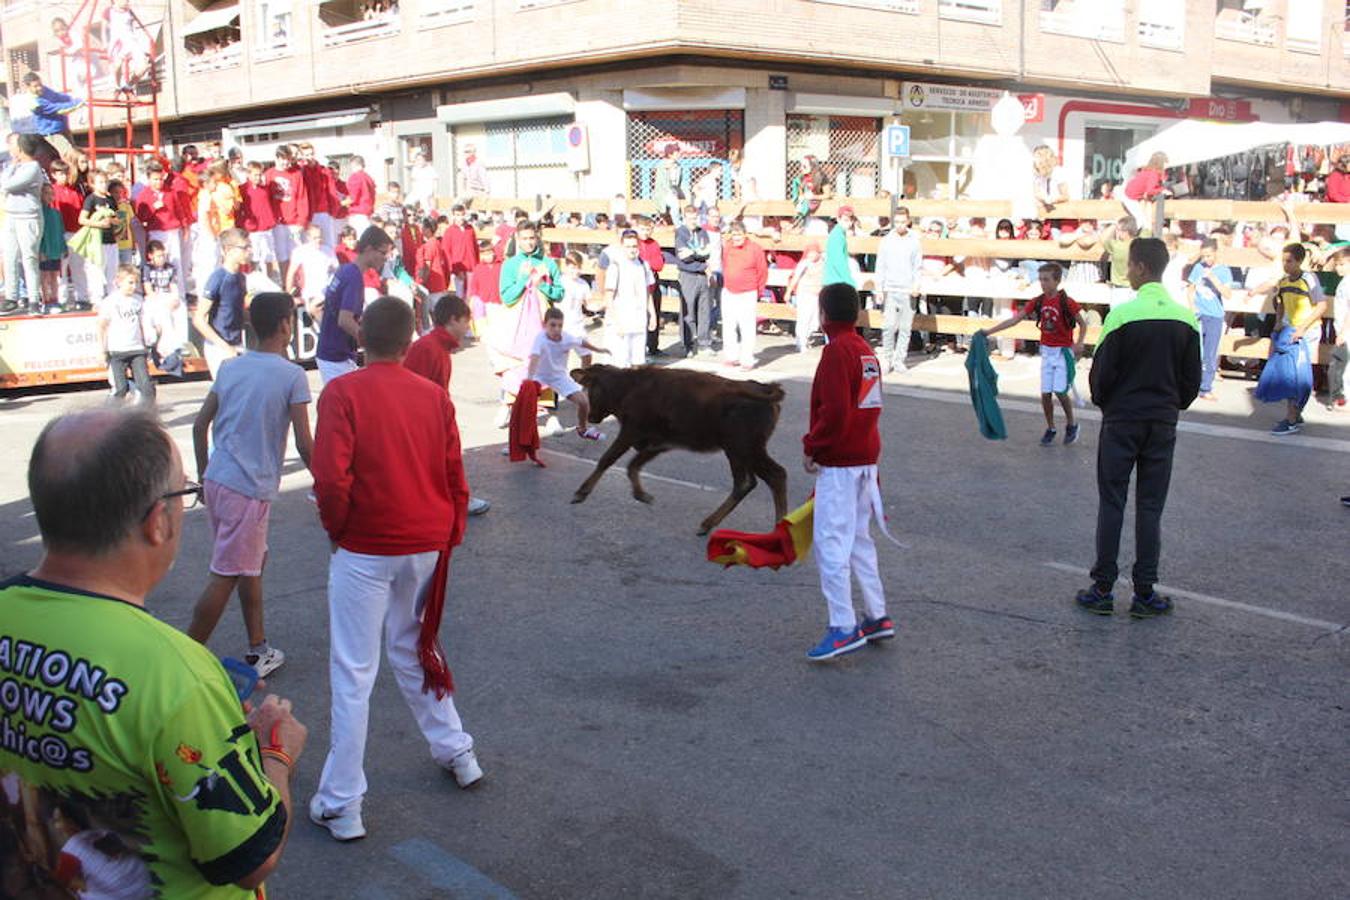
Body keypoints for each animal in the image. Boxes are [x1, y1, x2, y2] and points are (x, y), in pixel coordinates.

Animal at [569, 367, 788, 534]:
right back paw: (707, 525)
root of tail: (766, 388)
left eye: (589, 389)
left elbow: (608, 459)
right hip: (738, 453)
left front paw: (580, 493)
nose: (592, 417)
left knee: (774, 475)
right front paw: (642, 495)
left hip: (745, 450)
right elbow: (633, 465)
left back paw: (780, 532)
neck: (628, 387)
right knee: (746, 483)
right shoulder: (660, 443)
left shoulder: (631, 433)